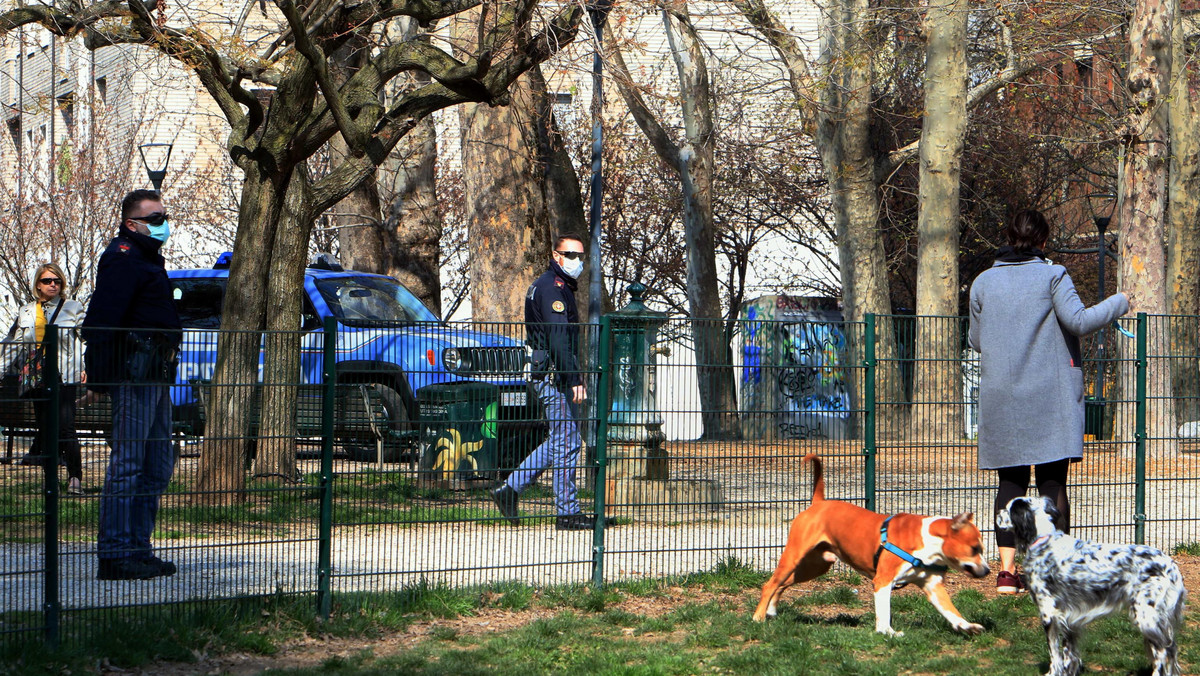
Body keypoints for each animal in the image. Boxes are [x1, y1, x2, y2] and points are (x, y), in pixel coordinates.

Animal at [753, 453, 988, 633]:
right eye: (974, 549)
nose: (987, 571)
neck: (927, 544)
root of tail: (819, 502)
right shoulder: (883, 581)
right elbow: (883, 612)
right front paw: (888, 632)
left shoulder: (933, 586)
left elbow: (951, 611)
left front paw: (967, 626)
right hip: (793, 556)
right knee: (770, 584)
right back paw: (758, 617)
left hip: (816, 566)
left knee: (783, 583)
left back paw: (771, 610)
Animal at [998, 497, 1185, 676]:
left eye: (1008, 509)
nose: (998, 513)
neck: (1043, 541)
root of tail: (1172, 566)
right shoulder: (1070, 620)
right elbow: (1070, 655)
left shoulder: (1049, 613)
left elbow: (1055, 654)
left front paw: (1052, 673)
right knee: (1170, 650)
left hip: (1146, 617)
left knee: (1163, 652)